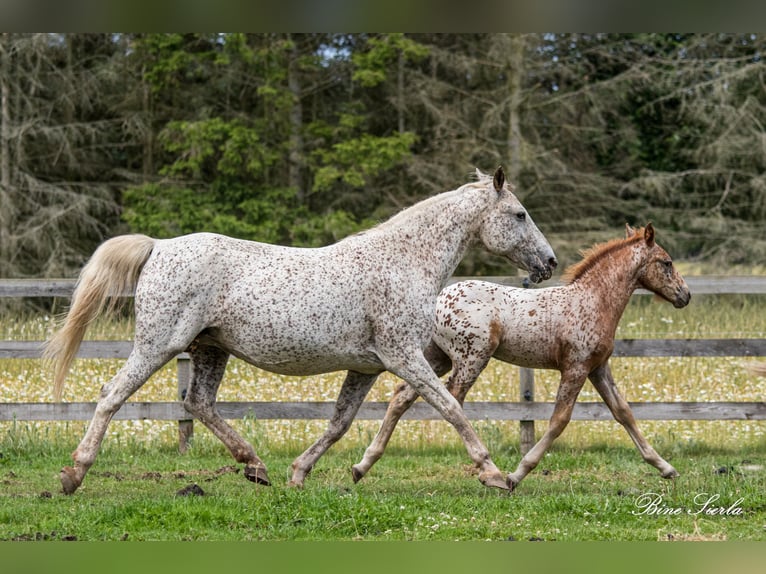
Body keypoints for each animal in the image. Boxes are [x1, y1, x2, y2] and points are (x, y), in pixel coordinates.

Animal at [45, 167, 557, 495]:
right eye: (519, 214)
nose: (549, 263)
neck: (404, 262)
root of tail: (159, 246)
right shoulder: (403, 356)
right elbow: (451, 408)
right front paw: (495, 474)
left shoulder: (368, 367)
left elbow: (339, 423)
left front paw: (300, 473)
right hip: (159, 344)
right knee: (113, 394)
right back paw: (74, 474)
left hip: (210, 349)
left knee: (199, 403)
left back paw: (256, 467)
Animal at [351, 223, 691, 490]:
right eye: (667, 262)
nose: (685, 296)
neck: (593, 301)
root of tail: (438, 299)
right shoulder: (575, 367)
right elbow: (559, 421)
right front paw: (517, 474)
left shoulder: (598, 368)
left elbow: (623, 412)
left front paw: (666, 467)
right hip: (471, 358)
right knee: (451, 401)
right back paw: (488, 473)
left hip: (437, 357)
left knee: (403, 396)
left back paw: (361, 466)